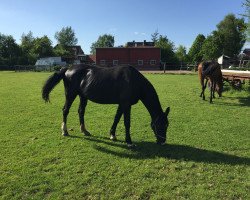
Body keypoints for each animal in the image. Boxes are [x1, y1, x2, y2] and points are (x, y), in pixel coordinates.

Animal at [42, 65, 170, 146]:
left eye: (167, 124)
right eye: (161, 124)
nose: (163, 142)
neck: (134, 81)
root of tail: (67, 69)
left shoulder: (121, 104)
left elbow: (116, 118)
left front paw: (112, 135)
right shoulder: (126, 104)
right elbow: (126, 122)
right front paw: (128, 141)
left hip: (83, 96)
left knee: (81, 111)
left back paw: (84, 131)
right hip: (70, 94)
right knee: (65, 110)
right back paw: (64, 131)